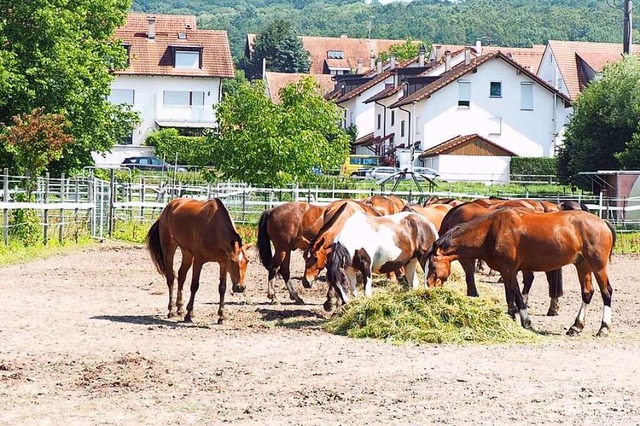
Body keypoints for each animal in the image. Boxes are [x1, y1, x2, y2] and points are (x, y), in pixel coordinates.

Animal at [424, 209, 616, 336]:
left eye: (432, 266)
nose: (428, 288)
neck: (491, 231)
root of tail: (603, 223)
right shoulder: (509, 271)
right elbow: (515, 295)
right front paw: (521, 320)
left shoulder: (508, 270)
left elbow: (513, 295)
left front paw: (516, 320)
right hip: (582, 265)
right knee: (587, 293)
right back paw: (576, 326)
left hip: (598, 266)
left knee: (606, 292)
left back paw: (604, 328)